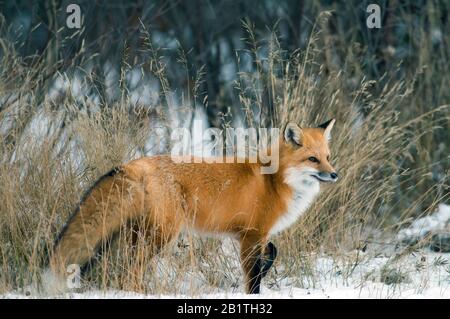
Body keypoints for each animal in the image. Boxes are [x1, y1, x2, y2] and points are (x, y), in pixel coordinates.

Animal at [48, 120, 338, 296]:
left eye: (328, 157)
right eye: (313, 160)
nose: (335, 174)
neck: (274, 181)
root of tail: (134, 164)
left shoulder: (256, 236)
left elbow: (272, 252)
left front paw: (267, 266)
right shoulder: (251, 235)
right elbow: (252, 278)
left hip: (139, 234)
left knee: (127, 269)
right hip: (161, 236)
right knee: (131, 270)